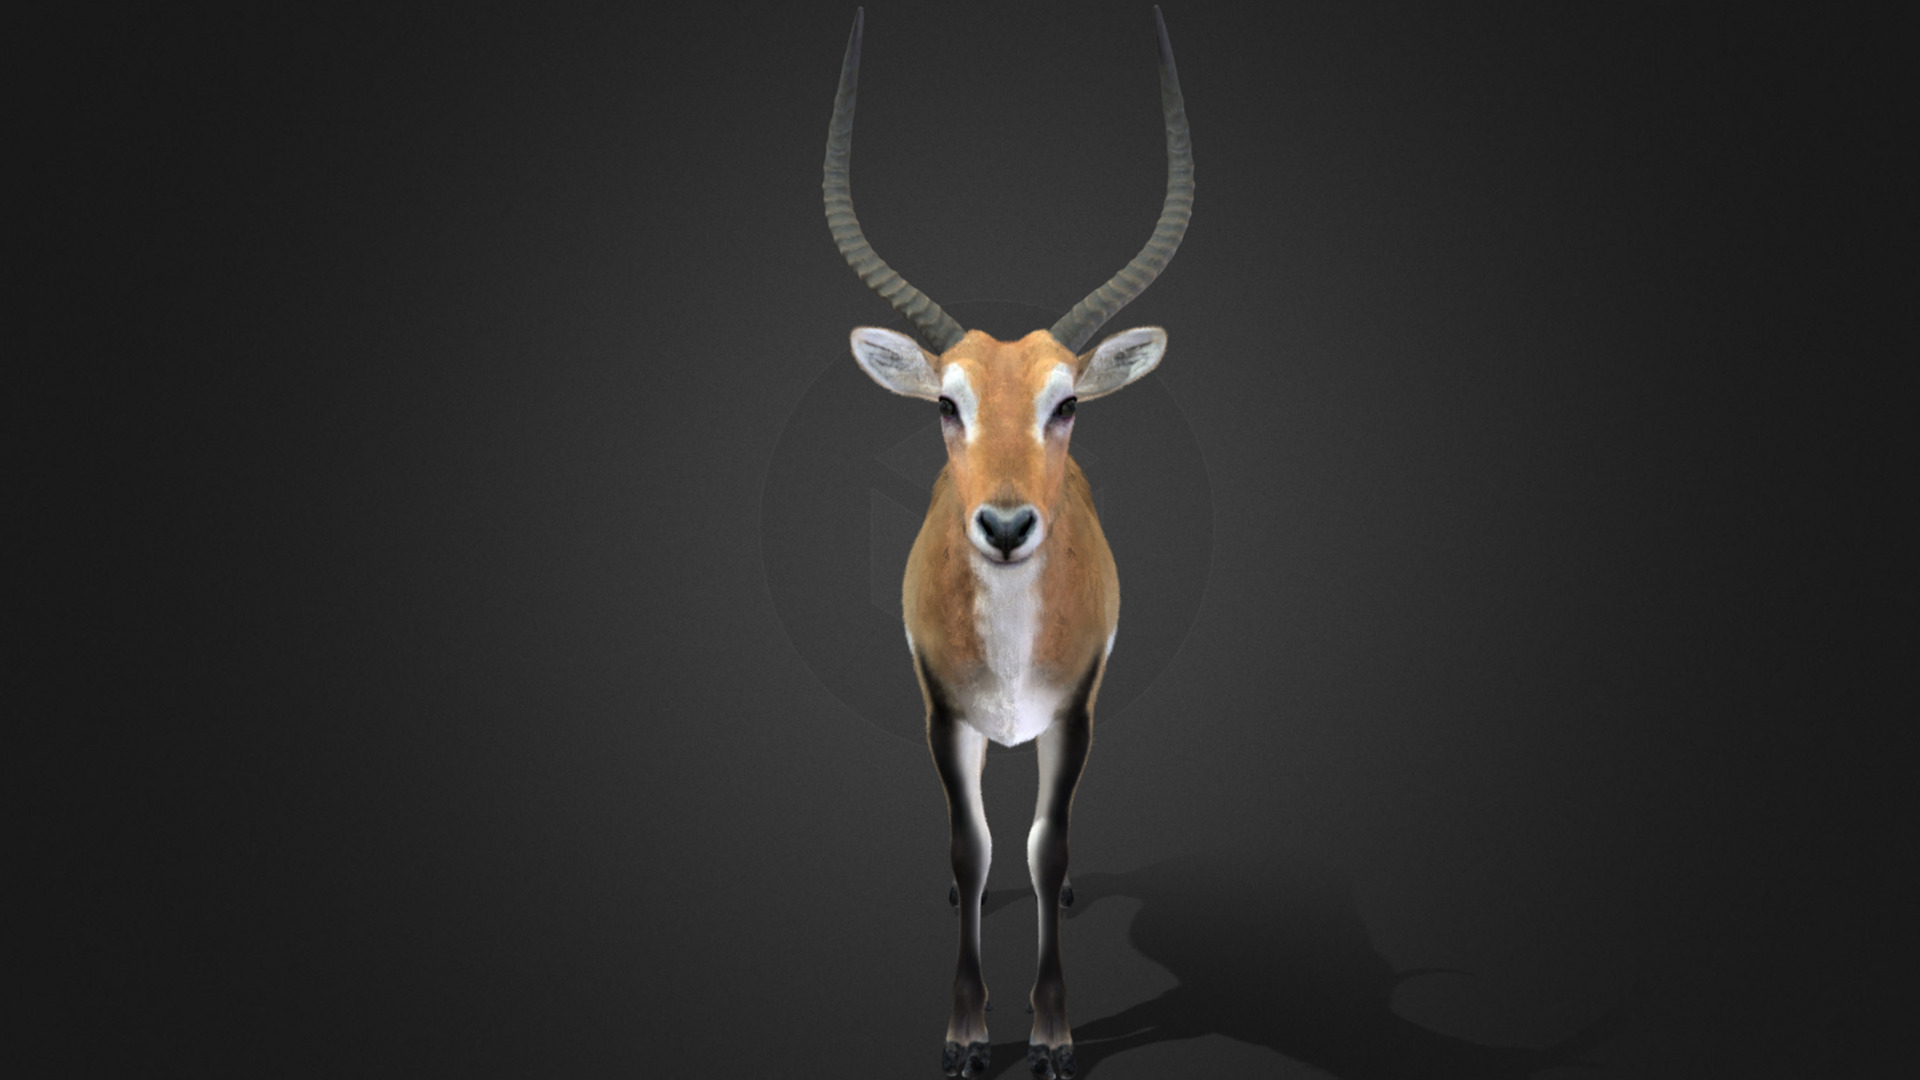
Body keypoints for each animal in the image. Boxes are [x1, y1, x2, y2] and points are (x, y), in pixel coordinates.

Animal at [823, 7, 1193, 1078]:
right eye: (947, 404)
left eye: (1065, 403)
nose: (1004, 524)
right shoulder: (942, 713)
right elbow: (973, 843)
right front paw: (963, 1034)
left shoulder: (1076, 712)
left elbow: (1045, 842)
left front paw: (1054, 1035)